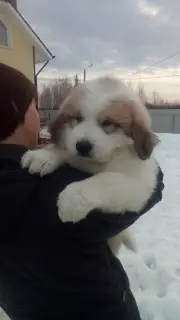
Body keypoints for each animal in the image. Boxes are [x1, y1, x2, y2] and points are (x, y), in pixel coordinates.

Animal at [21, 77, 159, 255]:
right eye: (78, 118)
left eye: (107, 123)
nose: (83, 146)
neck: (97, 163)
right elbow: (65, 151)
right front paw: (42, 156)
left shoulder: (140, 184)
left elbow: (107, 179)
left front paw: (72, 199)